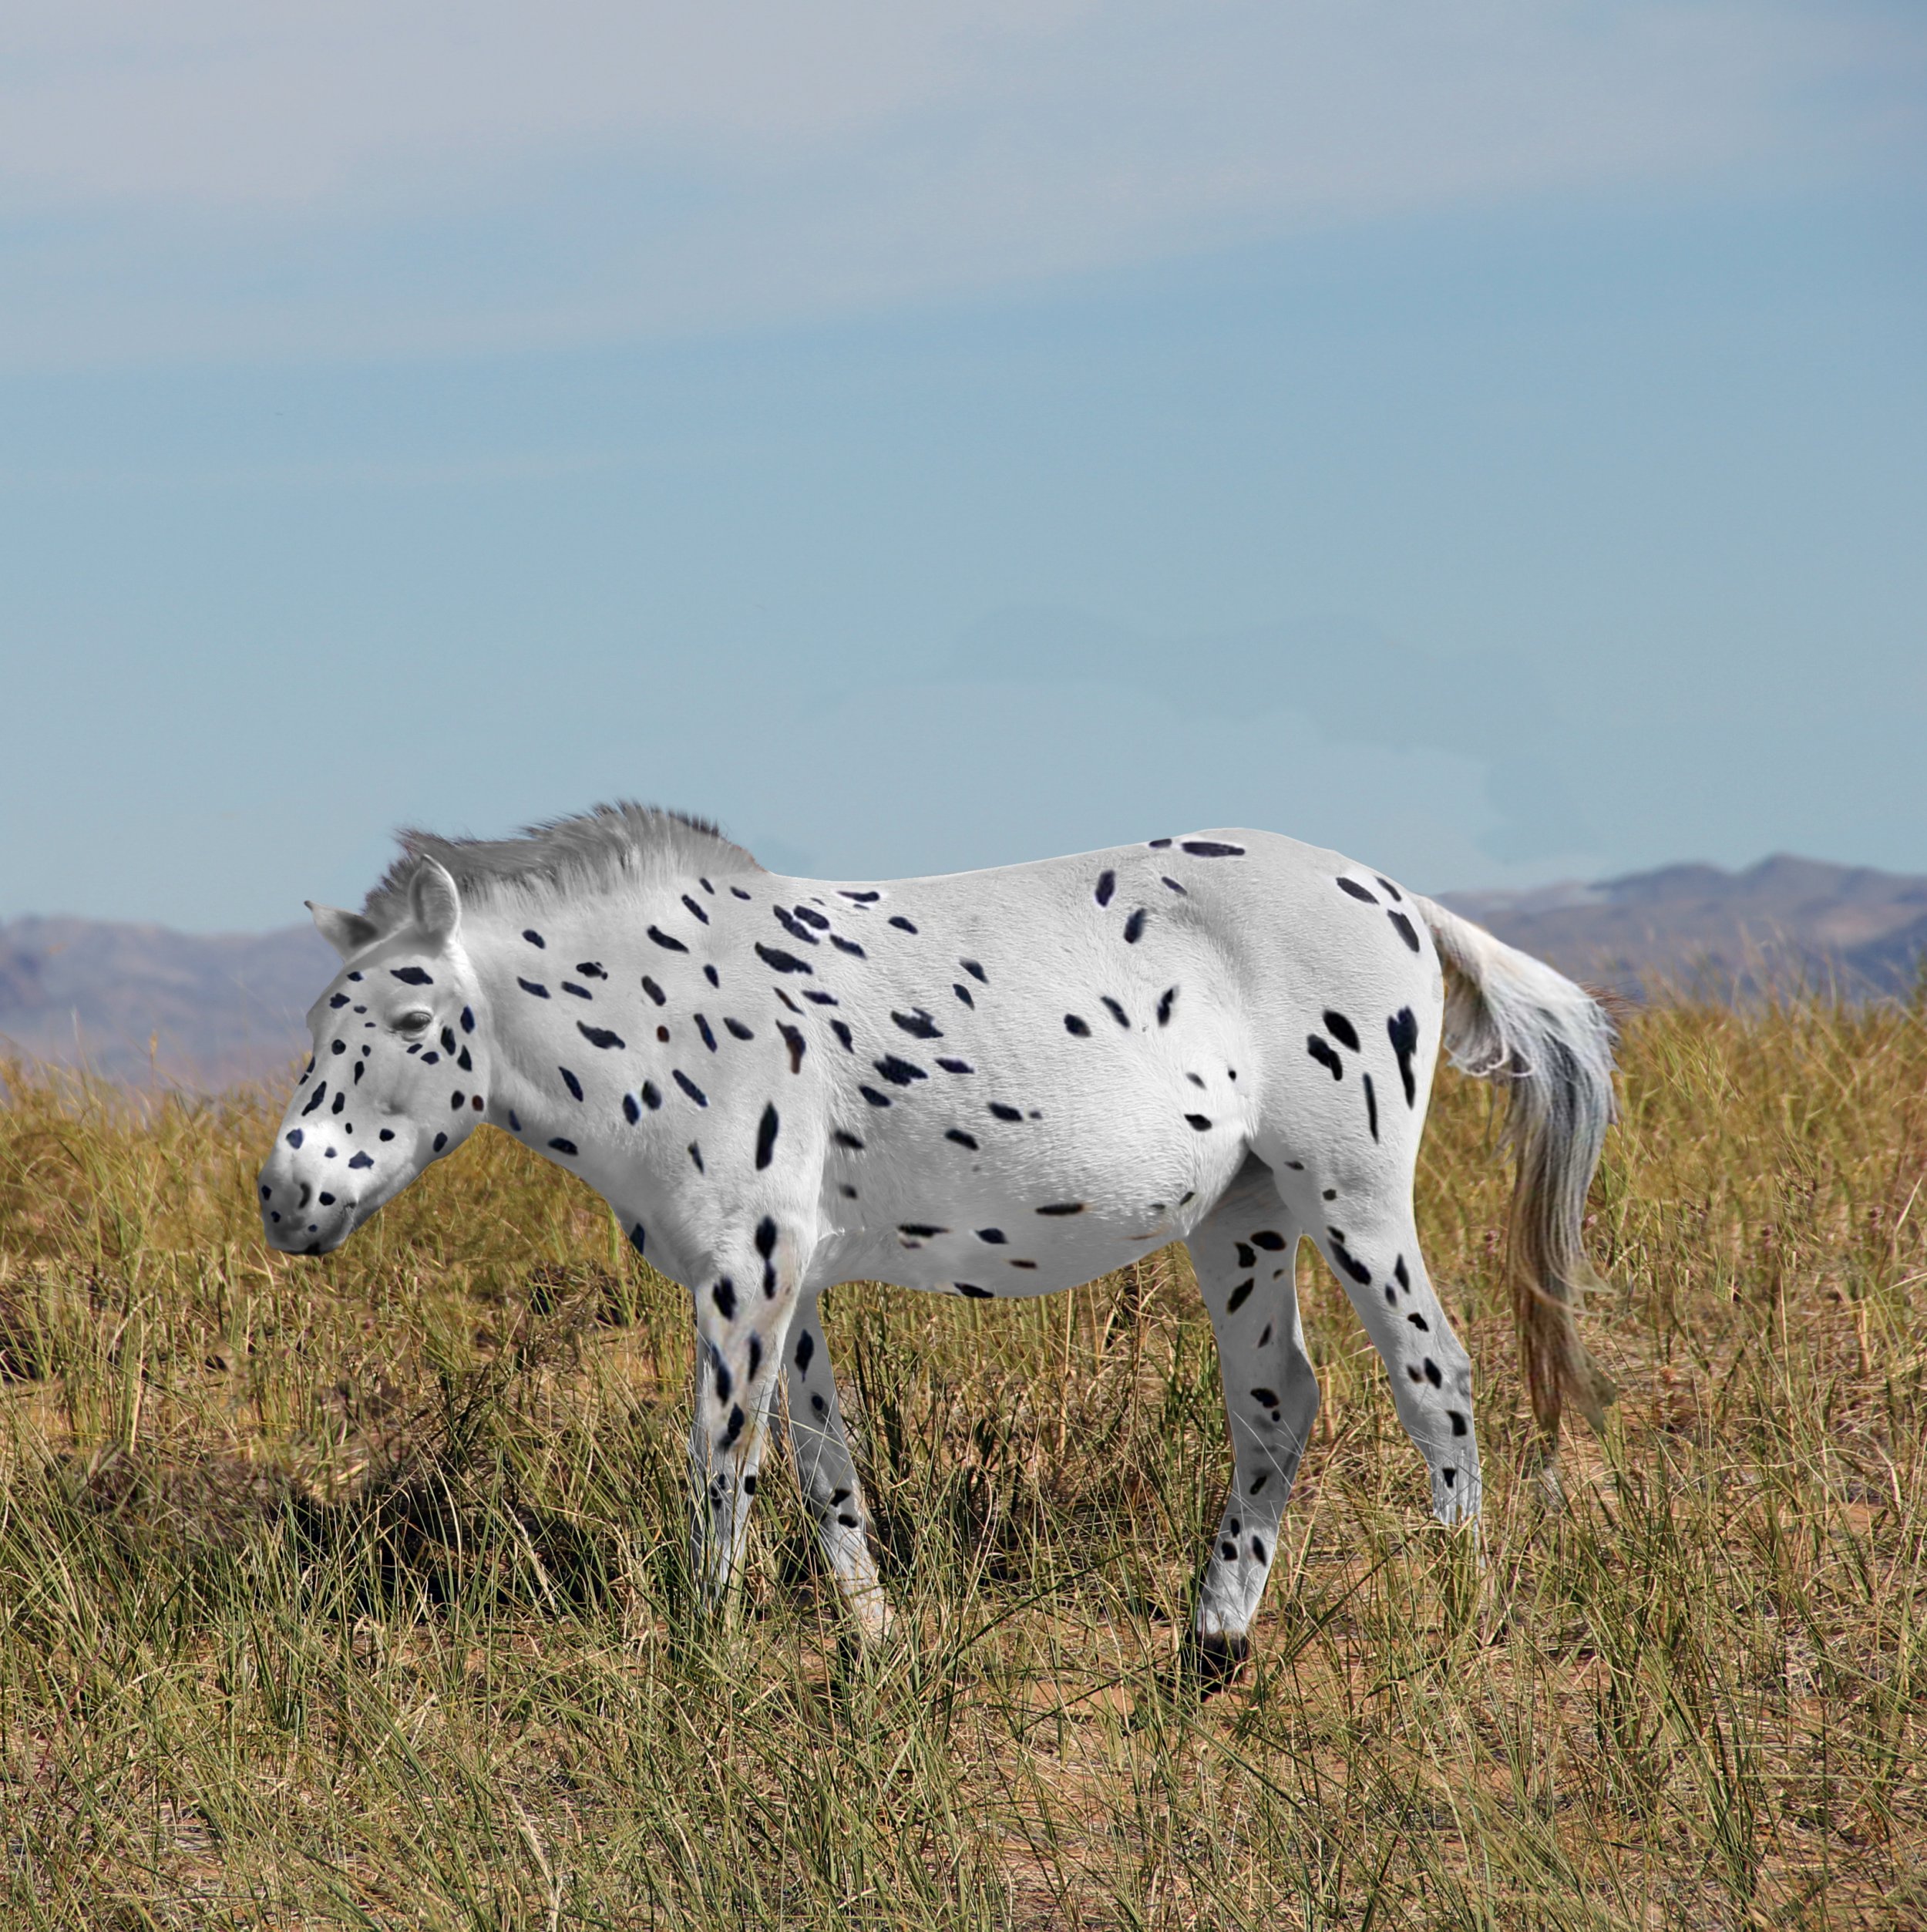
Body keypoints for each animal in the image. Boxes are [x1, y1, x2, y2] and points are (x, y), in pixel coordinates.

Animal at [253, 807, 1614, 1685]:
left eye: (414, 1019)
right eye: (318, 1018)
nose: (287, 1194)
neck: (673, 1007)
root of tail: (1401, 900)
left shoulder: (744, 1274)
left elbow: (721, 1466)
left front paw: (701, 1657)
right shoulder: (785, 1280)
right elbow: (823, 1466)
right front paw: (877, 1642)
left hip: (1355, 1199)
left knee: (1435, 1378)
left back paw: (1460, 1617)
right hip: (1244, 1218)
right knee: (1279, 1398)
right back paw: (1214, 1642)